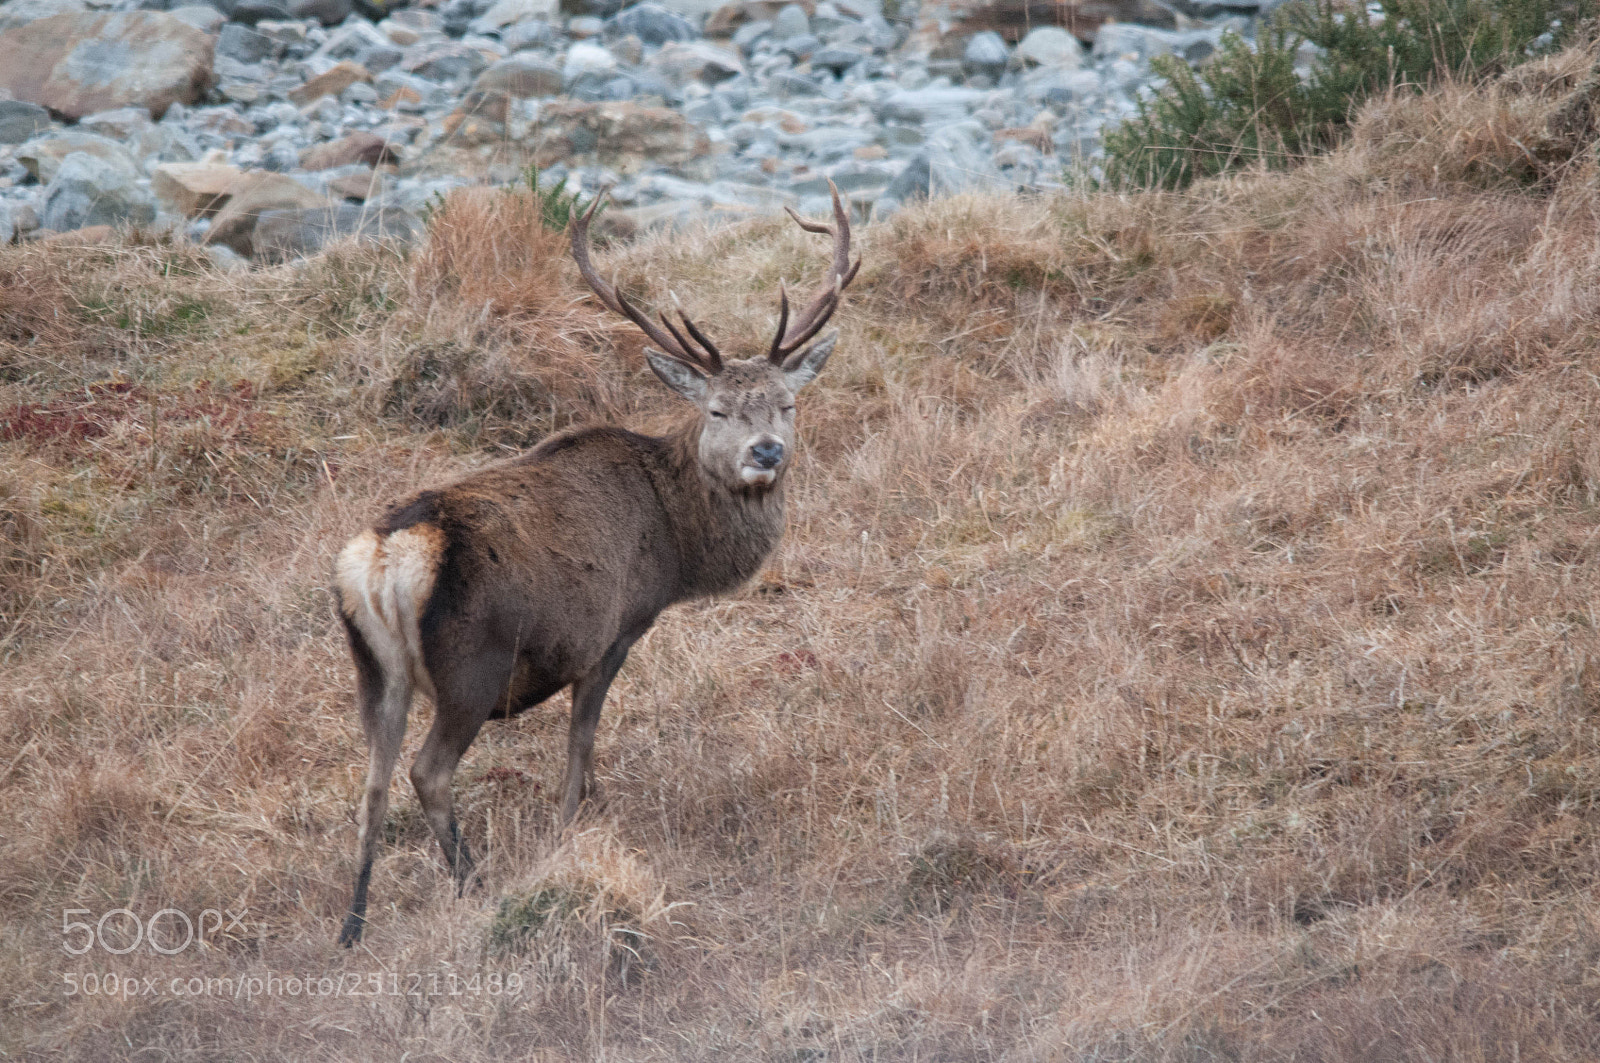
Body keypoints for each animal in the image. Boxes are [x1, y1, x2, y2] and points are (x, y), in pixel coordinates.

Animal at [331, 184, 860, 946]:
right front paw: (570, 826)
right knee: (426, 773)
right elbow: (581, 741)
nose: (767, 451)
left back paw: (353, 921)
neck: (675, 546)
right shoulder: (611, 631)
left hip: (372, 668)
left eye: (787, 403)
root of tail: (380, 561)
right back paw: (473, 883)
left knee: (370, 781)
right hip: (471, 664)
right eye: (718, 409)